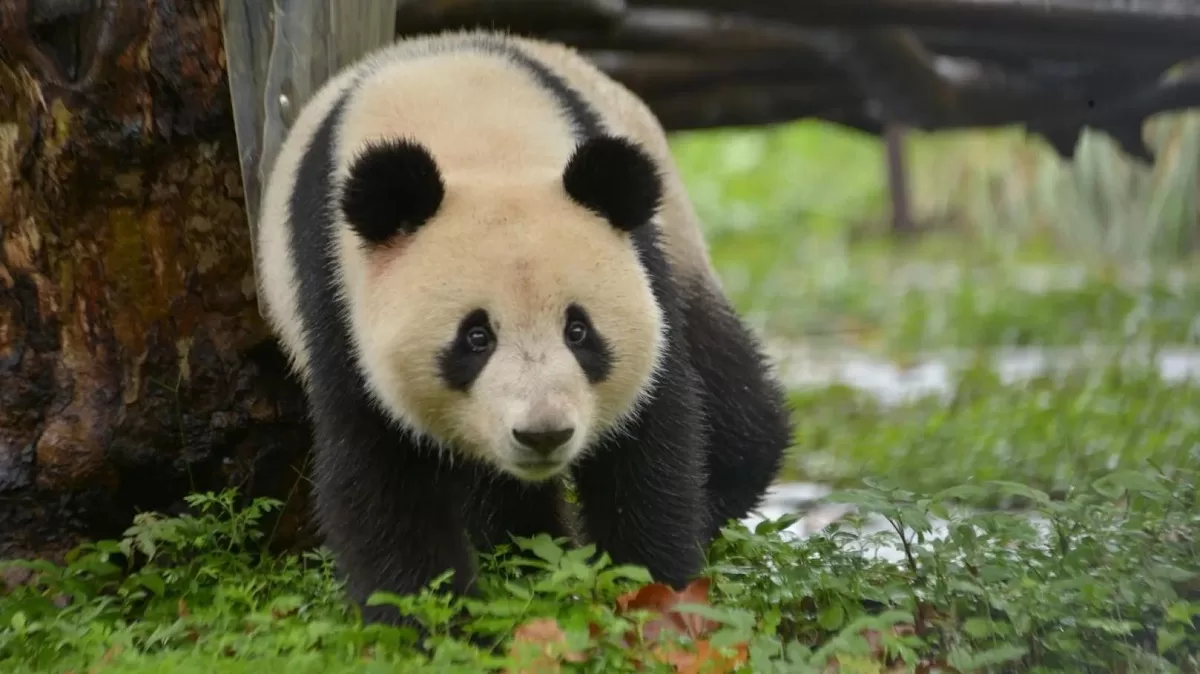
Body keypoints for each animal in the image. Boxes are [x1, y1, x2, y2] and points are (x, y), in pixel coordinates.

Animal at [254, 28, 793, 624]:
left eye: (578, 332)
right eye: (475, 337)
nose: (544, 433)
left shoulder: (642, 263)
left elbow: (650, 437)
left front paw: (651, 594)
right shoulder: (337, 297)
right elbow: (379, 472)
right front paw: (441, 621)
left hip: (677, 236)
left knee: (729, 385)